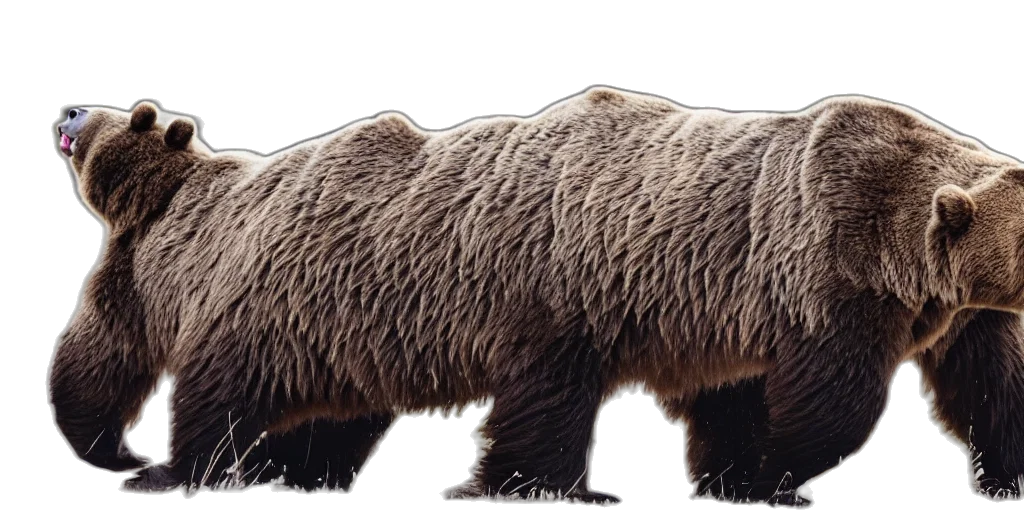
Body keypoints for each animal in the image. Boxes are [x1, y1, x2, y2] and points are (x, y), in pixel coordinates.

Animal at [47, 88, 1023, 507]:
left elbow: (988, 391)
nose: (71, 117)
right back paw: (172, 464)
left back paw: (303, 471)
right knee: (186, 381)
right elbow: (825, 404)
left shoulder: (947, 309)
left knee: (334, 408)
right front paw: (770, 472)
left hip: (344, 319)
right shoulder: (823, 275)